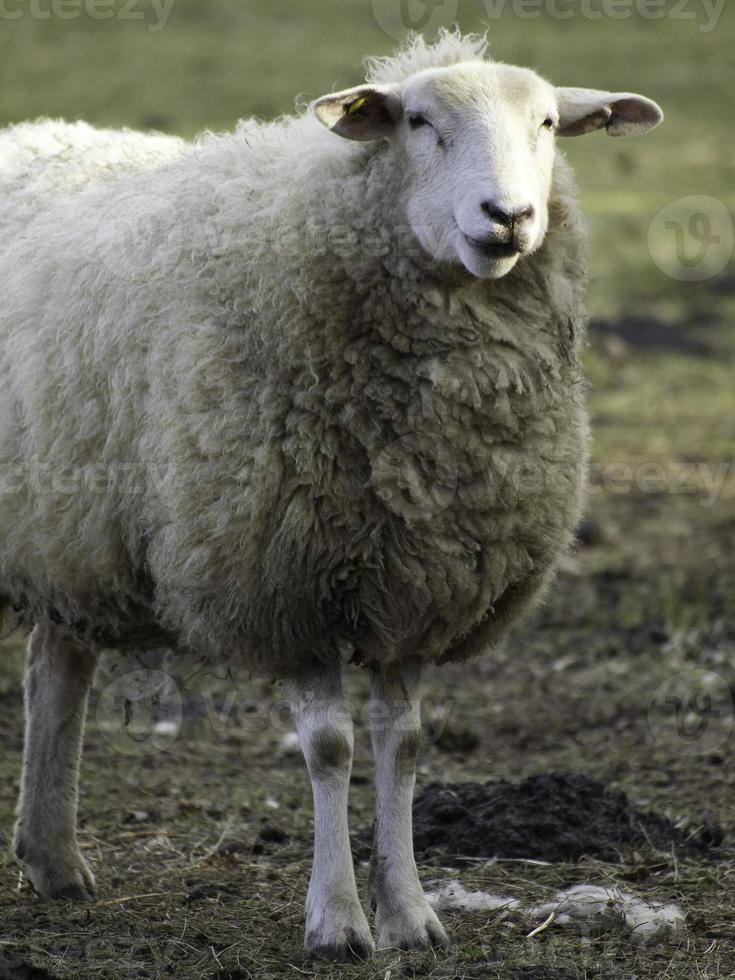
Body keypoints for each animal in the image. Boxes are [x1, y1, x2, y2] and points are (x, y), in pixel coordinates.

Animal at [0, 32, 664, 964]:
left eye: (546, 125)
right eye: (417, 122)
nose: (508, 217)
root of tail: (29, 130)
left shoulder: (421, 580)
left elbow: (403, 744)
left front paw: (411, 914)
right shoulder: (286, 576)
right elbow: (327, 746)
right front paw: (338, 920)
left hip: (67, 532)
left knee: (56, 665)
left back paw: (54, 861)